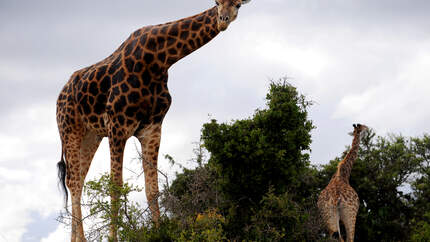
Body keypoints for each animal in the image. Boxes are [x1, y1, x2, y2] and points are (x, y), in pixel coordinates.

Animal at [57, 0, 252, 241]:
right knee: (74, 183)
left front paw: (160, 232)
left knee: (78, 181)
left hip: (91, 135)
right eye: (216, 3)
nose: (222, 21)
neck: (159, 60)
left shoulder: (152, 127)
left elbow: (153, 189)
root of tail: (60, 95)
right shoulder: (117, 126)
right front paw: (114, 238)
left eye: (237, 5)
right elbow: (115, 187)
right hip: (70, 131)